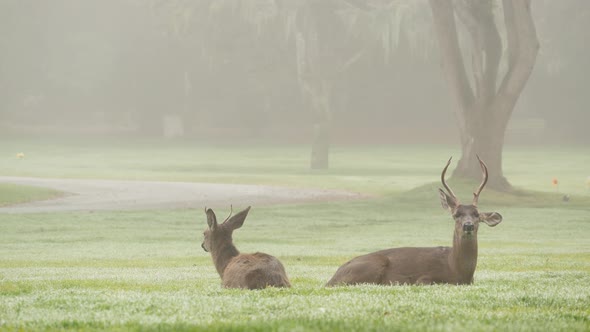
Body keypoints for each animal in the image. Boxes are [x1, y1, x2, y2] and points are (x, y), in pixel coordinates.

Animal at [328, 156, 504, 286]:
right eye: (456, 215)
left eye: (477, 215)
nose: (468, 226)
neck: (457, 269)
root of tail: (331, 279)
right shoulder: (424, 278)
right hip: (372, 266)